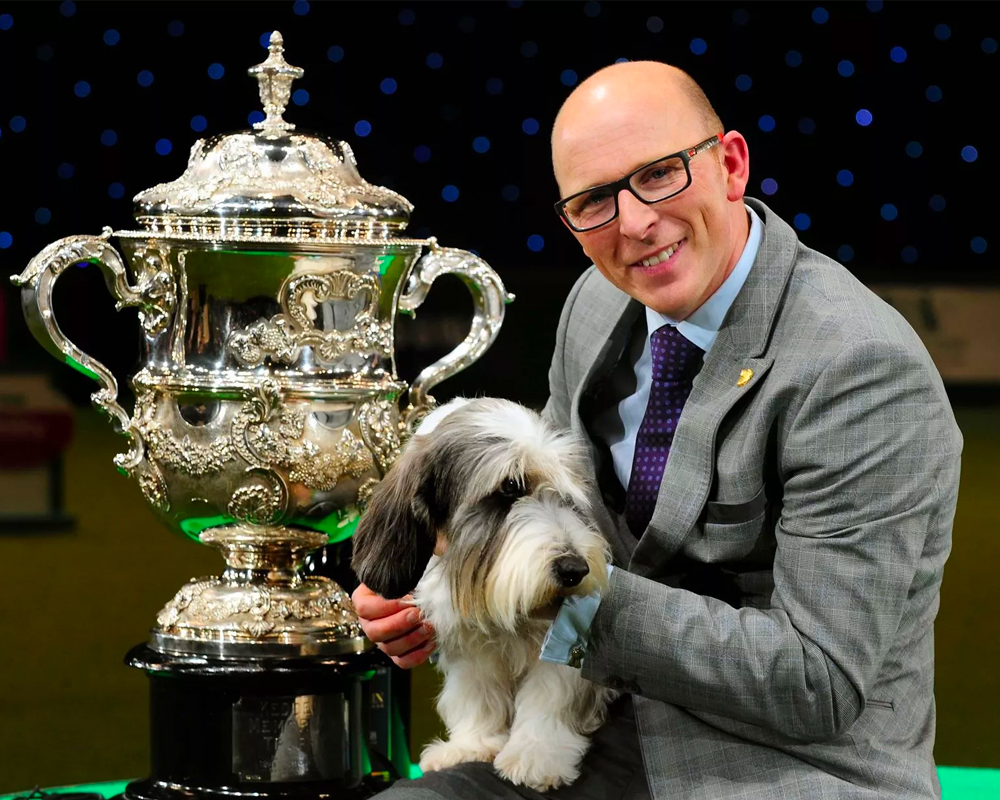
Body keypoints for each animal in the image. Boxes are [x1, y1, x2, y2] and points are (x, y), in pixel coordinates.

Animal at [352, 397, 615, 792]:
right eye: (509, 487)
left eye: (565, 493)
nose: (575, 569)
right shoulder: (468, 642)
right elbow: (477, 693)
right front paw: (472, 745)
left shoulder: (561, 640)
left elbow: (550, 694)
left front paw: (536, 753)